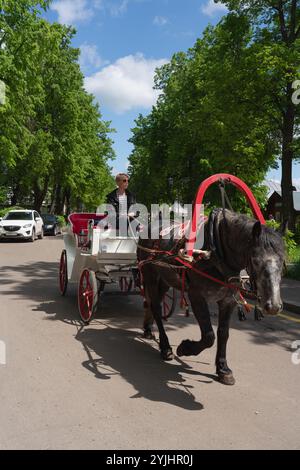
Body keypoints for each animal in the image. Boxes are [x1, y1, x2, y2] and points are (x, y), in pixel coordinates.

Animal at [137, 209, 284, 386]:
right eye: (255, 261)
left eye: (282, 261)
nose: (274, 306)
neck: (216, 254)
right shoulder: (196, 295)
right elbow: (209, 336)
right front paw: (185, 348)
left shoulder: (228, 300)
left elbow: (223, 333)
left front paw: (223, 368)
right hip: (150, 275)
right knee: (156, 309)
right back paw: (165, 347)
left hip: (166, 279)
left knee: (153, 303)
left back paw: (148, 329)